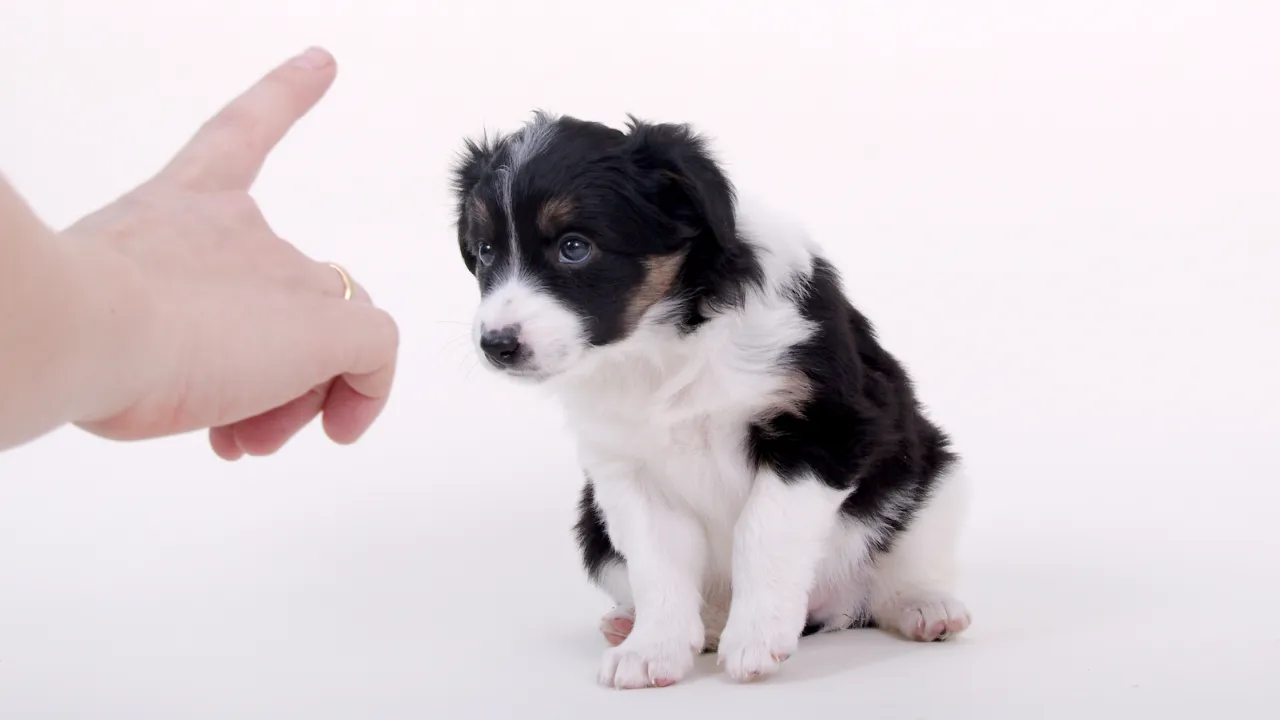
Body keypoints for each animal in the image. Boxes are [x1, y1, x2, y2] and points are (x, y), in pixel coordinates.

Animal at [450, 110, 967, 681]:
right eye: (486, 251)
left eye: (575, 247)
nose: (496, 345)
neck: (663, 341)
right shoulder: (626, 471)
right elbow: (657, 564)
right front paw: (653, 649)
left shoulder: (824, 429)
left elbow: (762, 532)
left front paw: (756, 639)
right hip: (594, 526)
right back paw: (649, 624)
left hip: (934, 478)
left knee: (895, 574)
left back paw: (925, 608)